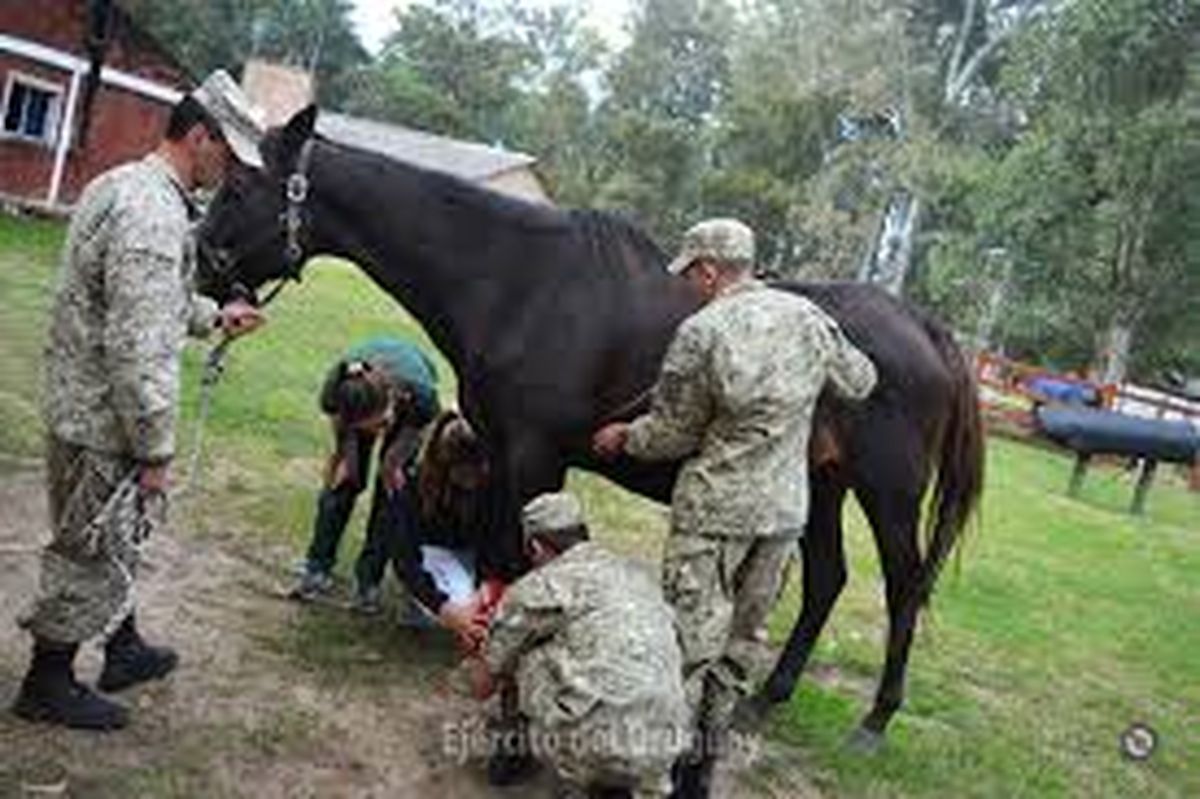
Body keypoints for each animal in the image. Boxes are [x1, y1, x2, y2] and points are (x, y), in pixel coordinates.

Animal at [196, 107, 984, 748]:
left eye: (235, 191)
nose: (200, 271)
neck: (521, 282)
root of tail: (928, 329)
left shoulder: (537, 454)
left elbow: (529, 563)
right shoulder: (502, 450)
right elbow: (502, 552)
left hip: (887, 494)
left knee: (903, 588)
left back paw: (875, 720)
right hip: (821, 487)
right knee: (826, 580)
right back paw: (771, 695)